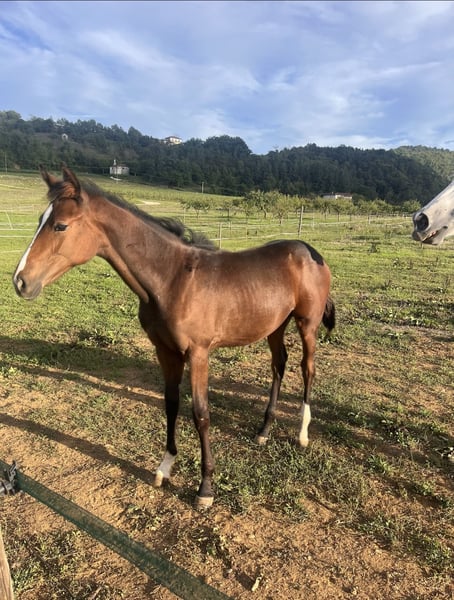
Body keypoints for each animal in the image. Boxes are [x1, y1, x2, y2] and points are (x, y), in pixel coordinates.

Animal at [13, 166, 335, 509]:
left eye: (60, 225)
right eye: (40, 220)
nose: (20, 281)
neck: (173, 280)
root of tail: (311, 252)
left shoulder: (198, 353)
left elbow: (201, 414)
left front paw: (205, 488)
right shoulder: (165, 351)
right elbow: (170, 404)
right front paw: (165, 467)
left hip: (307, 323)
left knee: (307, 368)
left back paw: (302, 433)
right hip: (275, 324)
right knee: (279, 365)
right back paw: (264, 430)